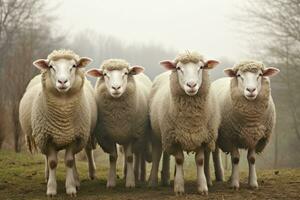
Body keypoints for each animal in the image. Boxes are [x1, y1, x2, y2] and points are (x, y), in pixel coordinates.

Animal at [18, 49, 97, 196]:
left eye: (74, 66)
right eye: (51, 67)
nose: (62, 81)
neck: (63, 116)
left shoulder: (75, 137)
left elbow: (70, 161)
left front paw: (71, 187)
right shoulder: (46, 138)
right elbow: (52, 162)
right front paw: (51, 189)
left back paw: (78, 179)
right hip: (41, 137)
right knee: (46, 157)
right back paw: (47, 175)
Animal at [86, 57, 152, 188]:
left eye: (126, 73)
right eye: (105, 74)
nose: (116, 88)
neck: (118, 118)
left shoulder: (132, 135)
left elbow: (130, 157)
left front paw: (130, 182)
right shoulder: (107, 136)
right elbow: (112, 157)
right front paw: (111, 182)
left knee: (137, 155)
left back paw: (137, 175)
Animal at [148, 50, 220, 195]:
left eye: (201, 67)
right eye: (179, 68)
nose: (191, 85)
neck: (190, 120)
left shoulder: (202, 137)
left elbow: (200, 160)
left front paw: (203, 187)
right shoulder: (175, 137)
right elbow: (179, 159)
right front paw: (179, 188)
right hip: (158, 133)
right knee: (158, 154)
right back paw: (153, 182)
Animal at [211, 60, 278, 190]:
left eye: (260, 75)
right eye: (239, 75)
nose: (251, 90)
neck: (250, 120)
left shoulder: (255, 137)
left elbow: (251, 159)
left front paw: (253, 183)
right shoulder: (230, 137)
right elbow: (235, 159)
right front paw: (234, 184)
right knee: (215, 152)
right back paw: (219, 176)